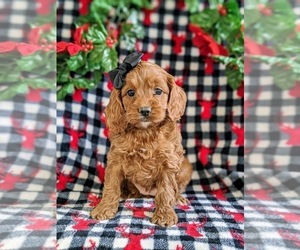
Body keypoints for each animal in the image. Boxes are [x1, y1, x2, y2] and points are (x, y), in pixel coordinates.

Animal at [91, 56, 192, 227]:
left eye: (158, 91)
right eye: (130, 92)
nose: (145, 111)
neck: (145, 132)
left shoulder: (169, 161)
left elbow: (166, 189)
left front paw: (165, 214)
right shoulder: (115, 160)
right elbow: (111, 186)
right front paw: (104, 208)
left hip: (185, 168)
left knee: (176, 188)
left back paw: (179, 198)